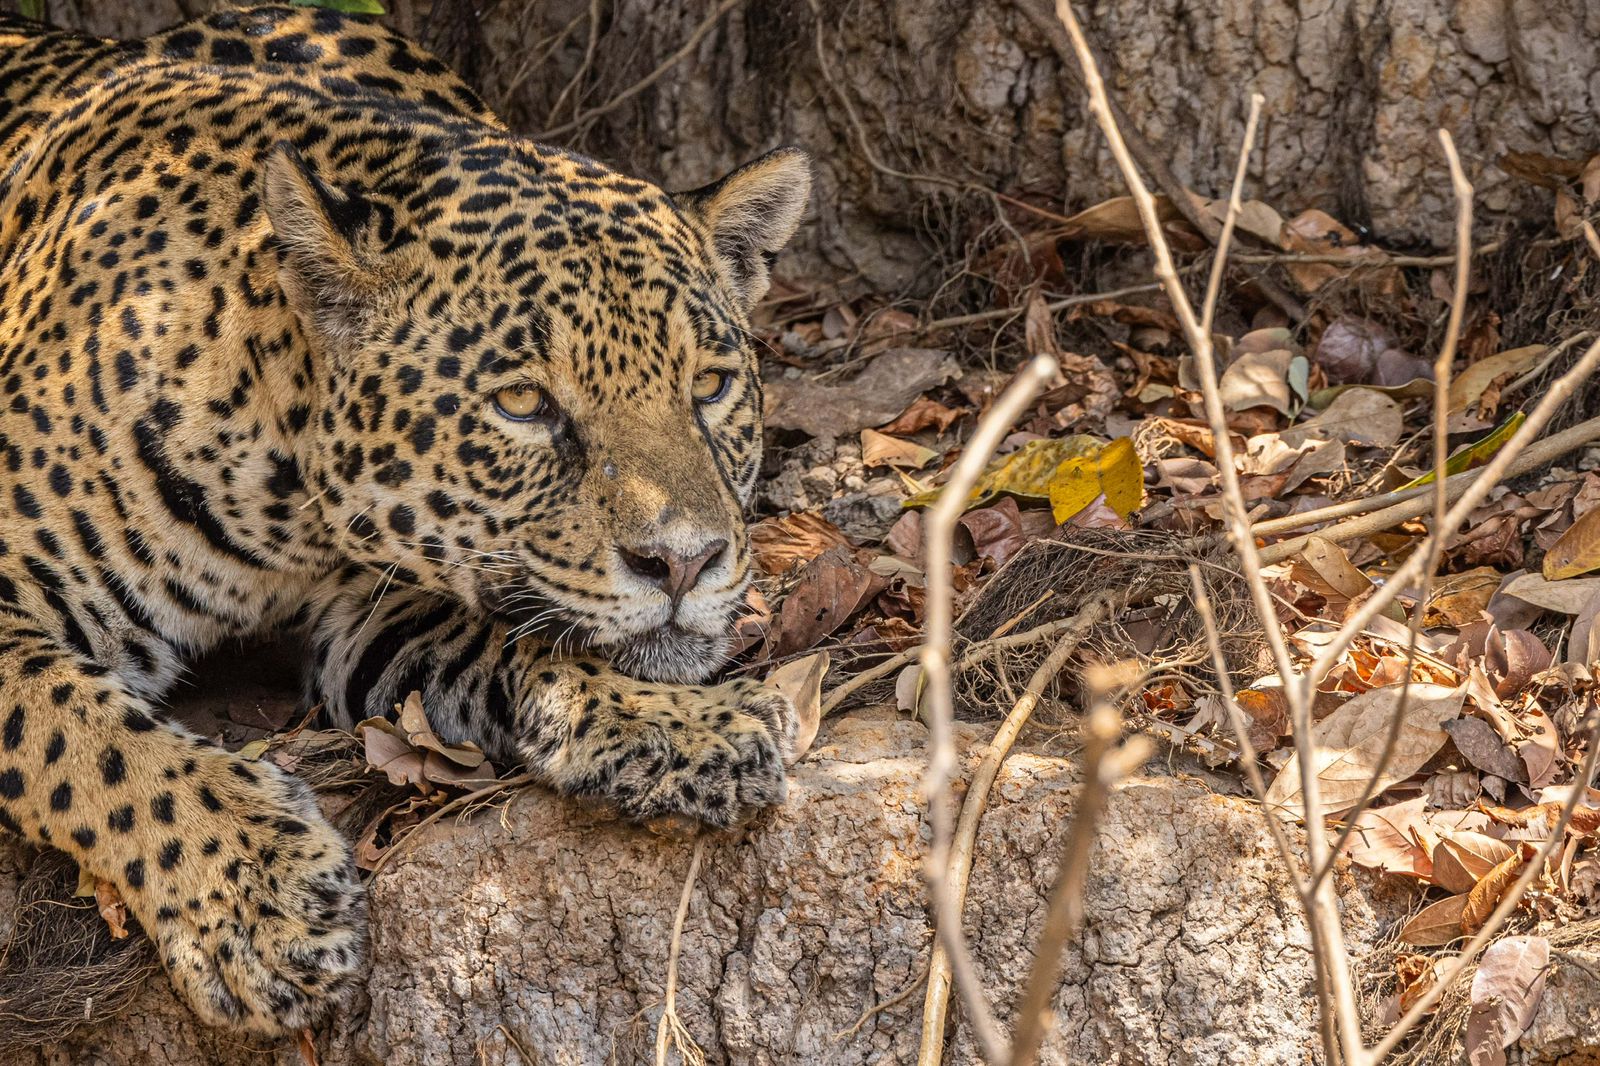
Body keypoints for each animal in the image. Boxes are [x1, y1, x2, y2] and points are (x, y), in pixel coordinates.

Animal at [0, 3, 809, 1041]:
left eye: (708, 385)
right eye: (522, 403)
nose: (686, 563)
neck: (284, 500)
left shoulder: (369, 606)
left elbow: (513, 637)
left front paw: (677, 721)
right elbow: (79, 732)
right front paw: (256, 898)